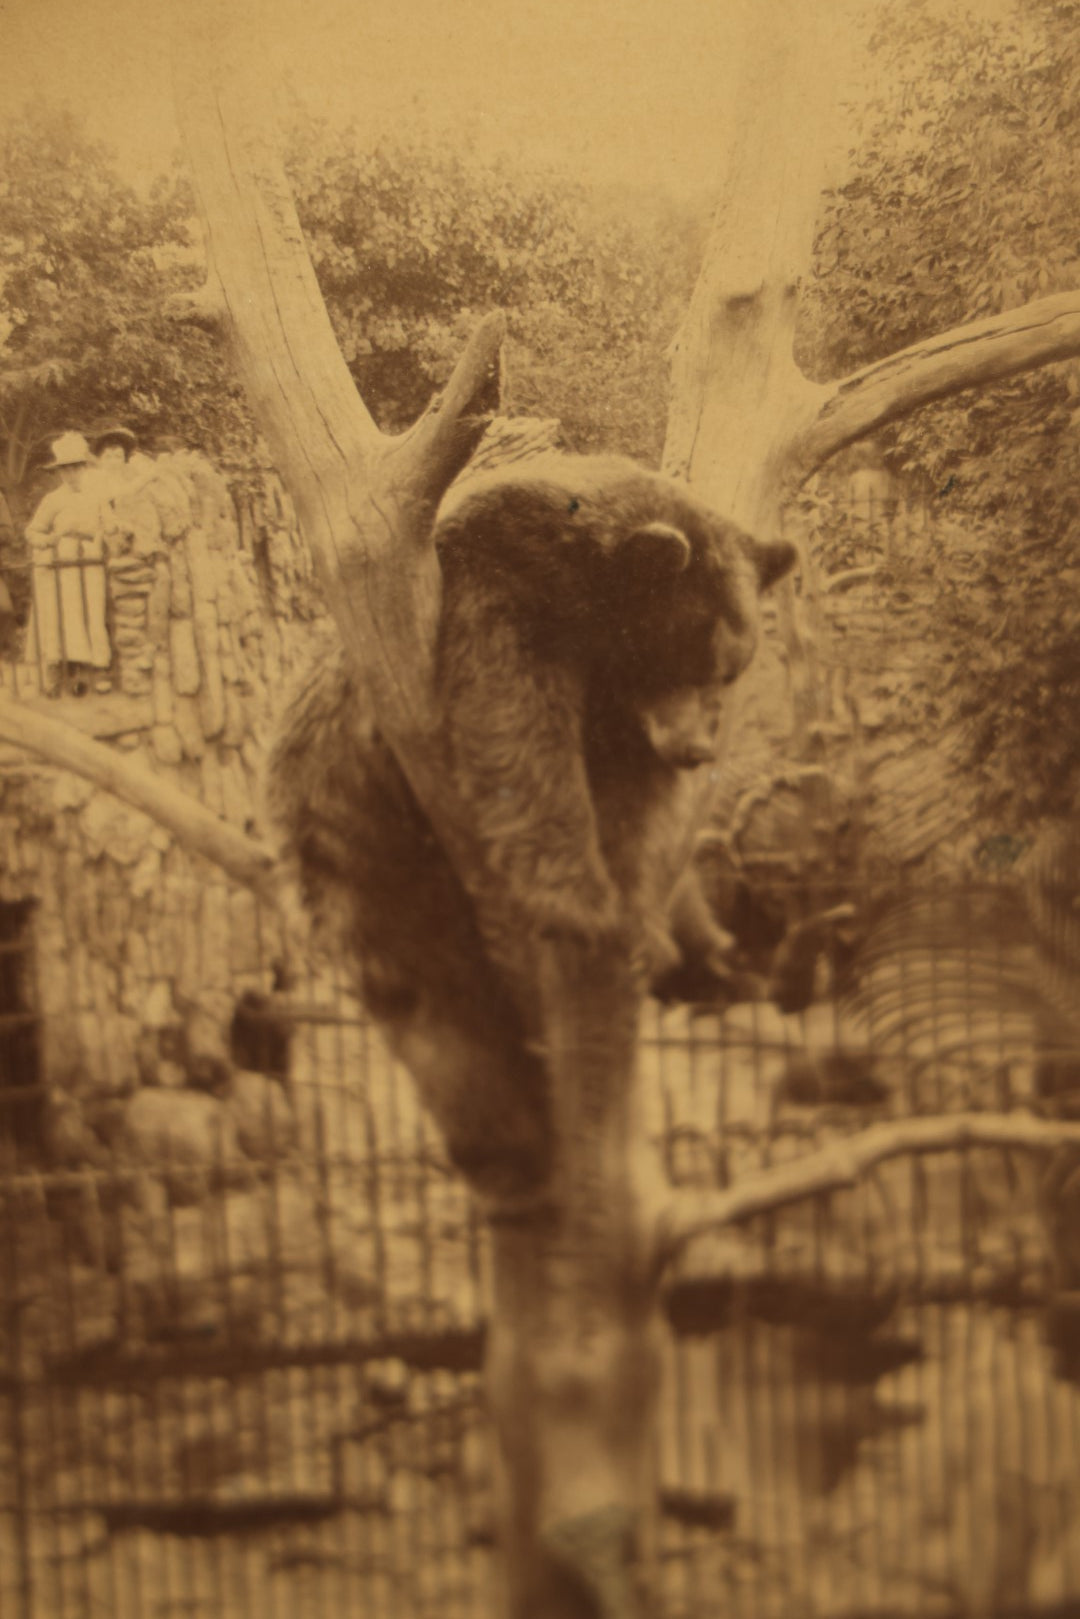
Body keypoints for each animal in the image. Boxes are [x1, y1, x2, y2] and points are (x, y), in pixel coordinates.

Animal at [268, 456, 793, 1204]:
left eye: (731, 669)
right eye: (689, 657)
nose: (697, 751)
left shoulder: (619, 716)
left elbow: (633, 813)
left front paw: (638, 921)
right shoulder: (498, 590)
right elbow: (517, 726)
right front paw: (584, 908)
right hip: (347, 830)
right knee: (426, 995)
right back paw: (500, 1144)